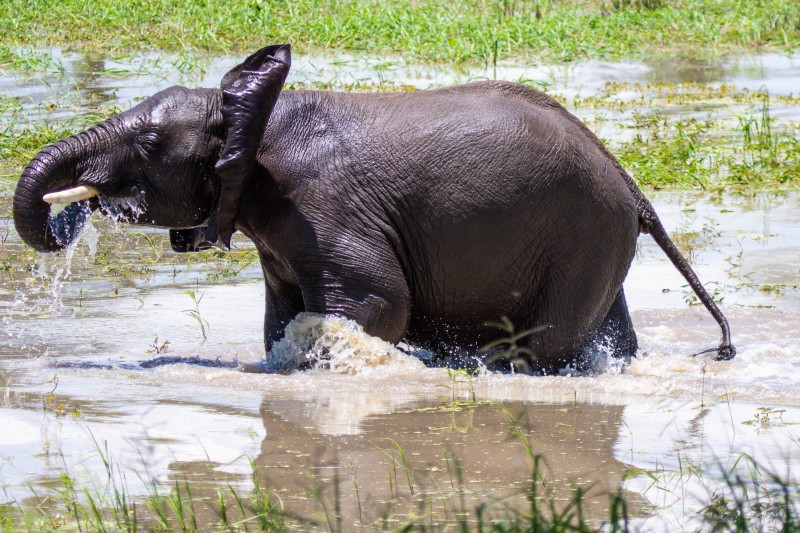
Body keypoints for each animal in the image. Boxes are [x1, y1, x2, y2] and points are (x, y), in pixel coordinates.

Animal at [14, 43, 736, 372]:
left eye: (147, 145)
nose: (73, 212)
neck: (253, 115)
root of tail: (634, 188)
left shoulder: (322, 207)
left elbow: (374, 305)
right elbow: (285, 318)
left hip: (581, 236)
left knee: (545, 340)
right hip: (596, 239)